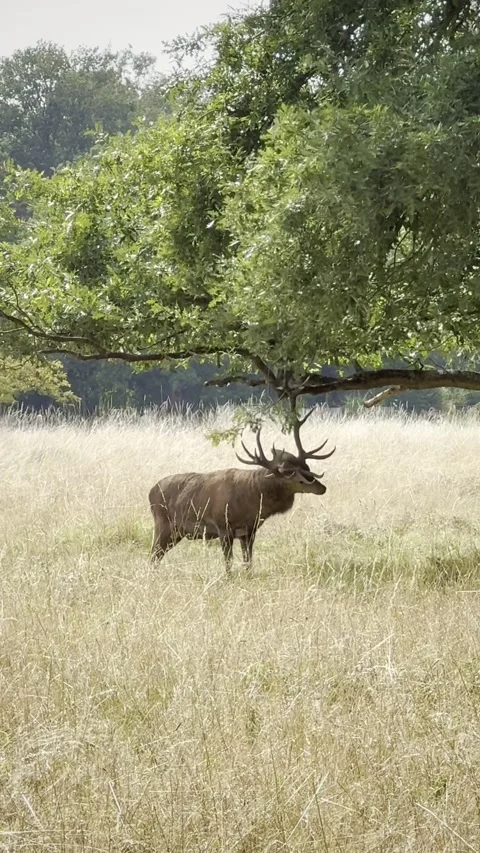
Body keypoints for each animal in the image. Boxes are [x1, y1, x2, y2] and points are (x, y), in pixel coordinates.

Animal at [148, 411, 335, 572]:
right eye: (293, 475)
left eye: (307, 468)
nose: (322, 488)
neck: (251, 505)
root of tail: (150, 492)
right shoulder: (223, 527)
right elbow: (229, 563)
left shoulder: (249, 531)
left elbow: (248, 561)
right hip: (163, 524)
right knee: (152, 555)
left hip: (176, 533)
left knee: (156, 556)